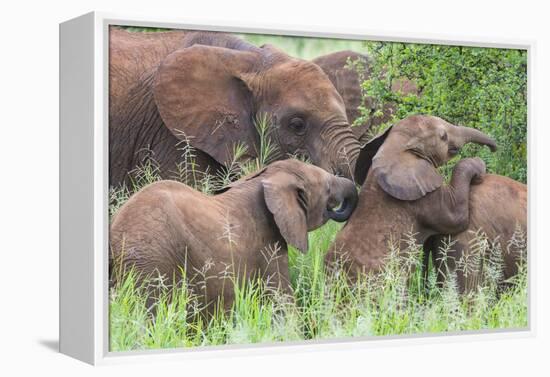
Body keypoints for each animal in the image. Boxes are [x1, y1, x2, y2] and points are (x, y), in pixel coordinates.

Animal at [326, 114, 498, 280]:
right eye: (443, 136)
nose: (494, 148)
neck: (396, 147)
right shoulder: (422, 197)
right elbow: (457, 219)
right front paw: (478, 165)